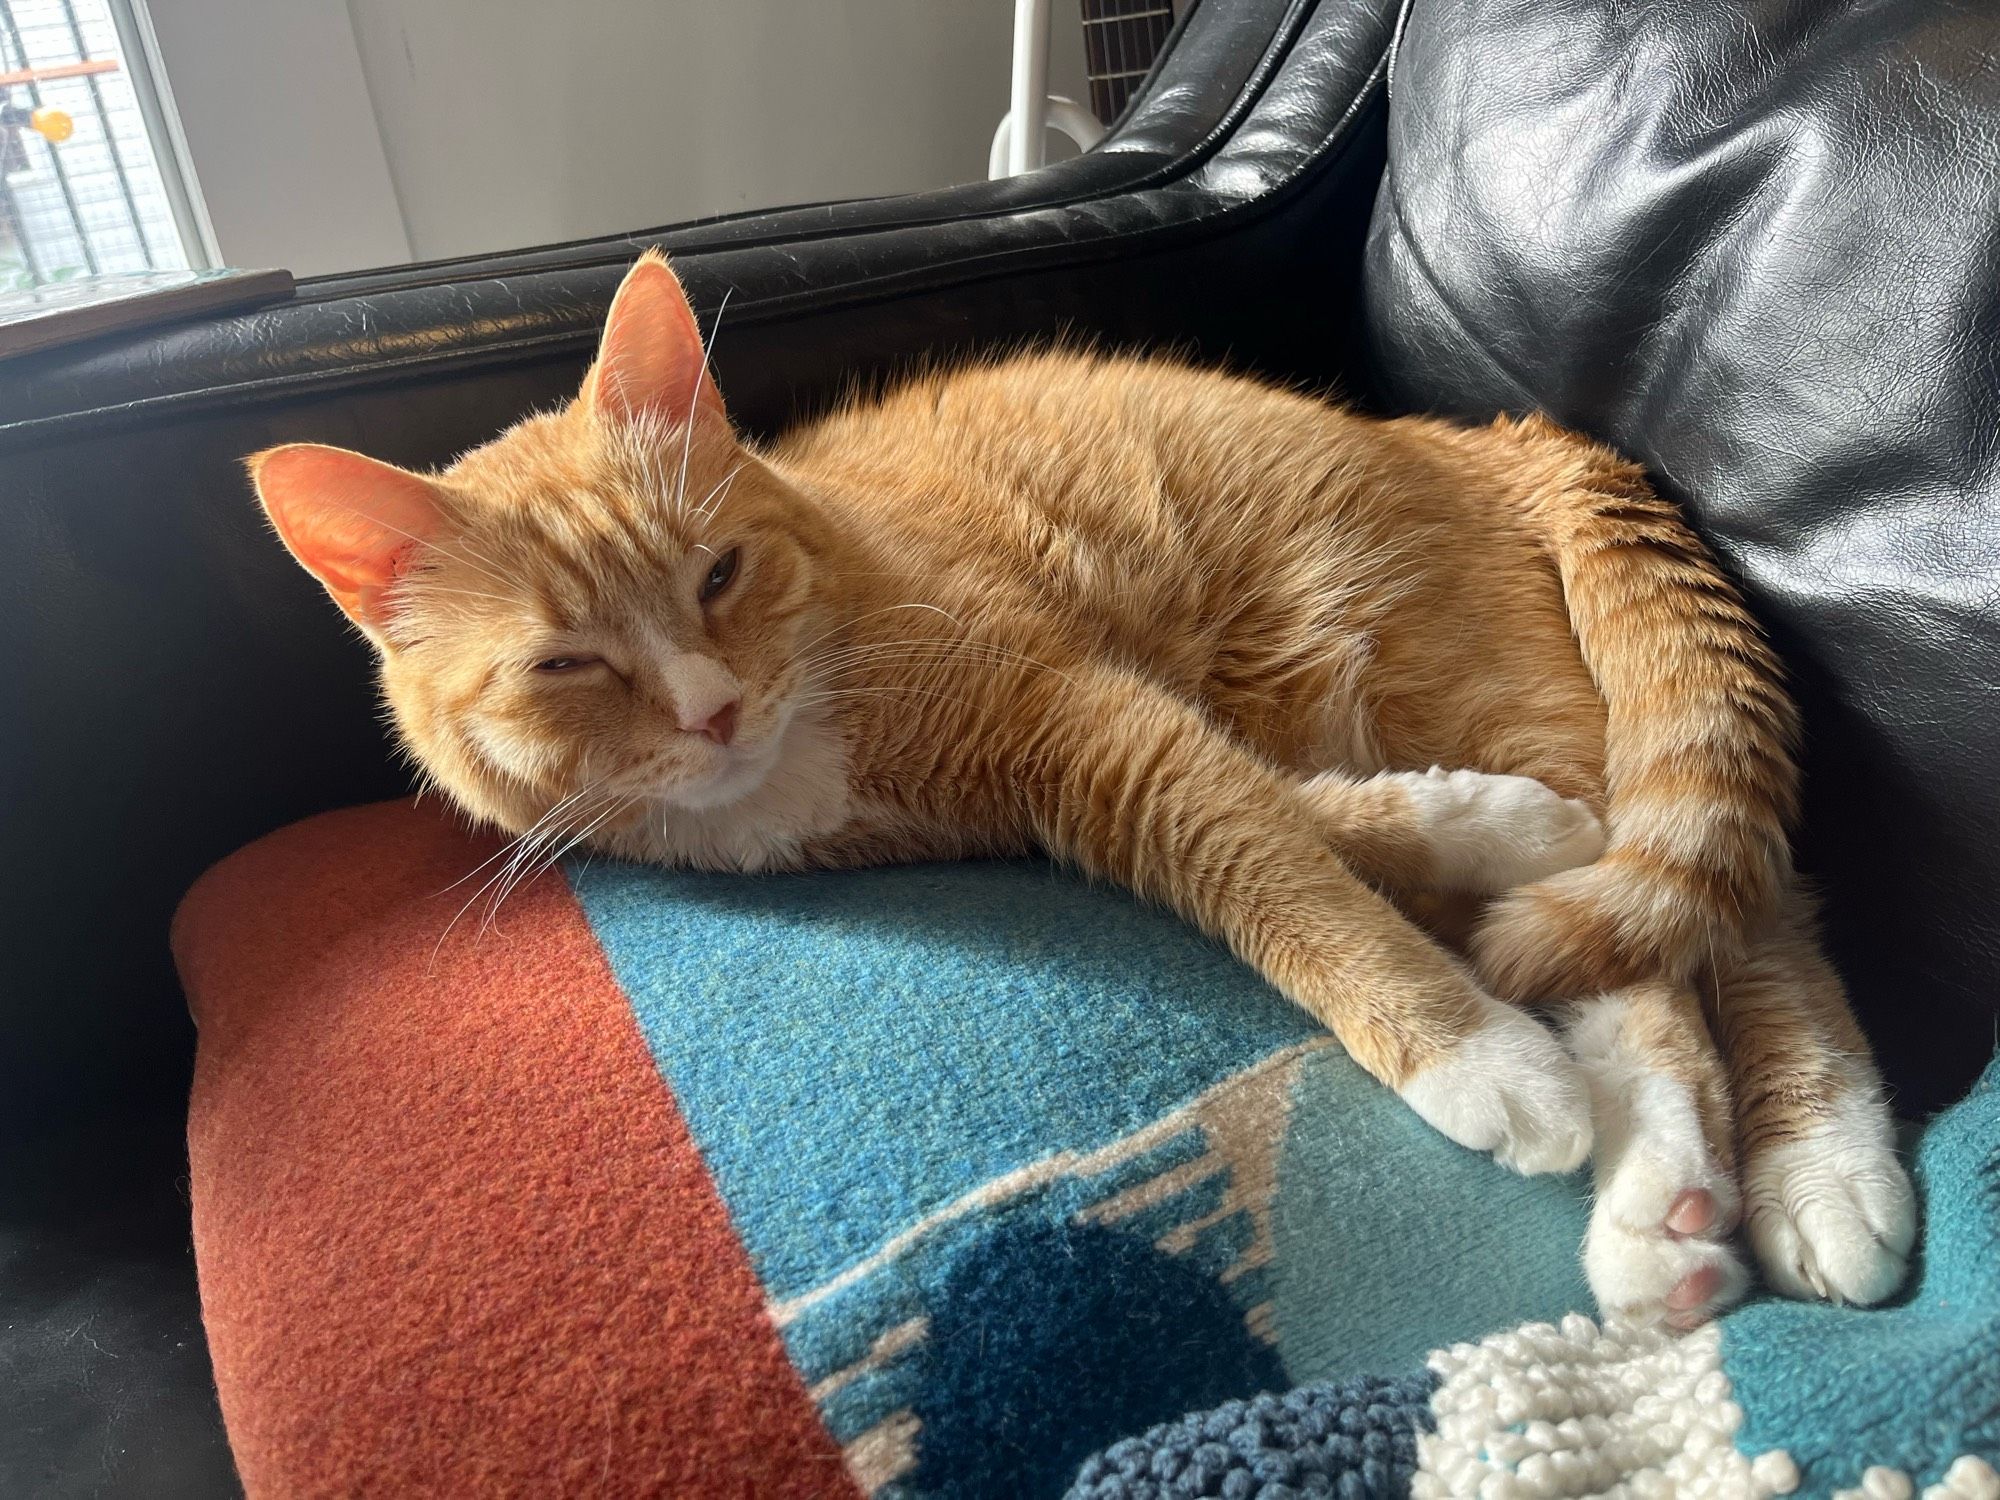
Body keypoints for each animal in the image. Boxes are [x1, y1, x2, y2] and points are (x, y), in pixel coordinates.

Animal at [250, 250, 1904, 1328]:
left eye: (717, 573)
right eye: (565, 665)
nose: (713, 712)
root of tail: (1475, 434)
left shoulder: (1079, 717)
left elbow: (1259, 858)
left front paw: (1471, 1054)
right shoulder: (1065, 779)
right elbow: (1305, 821)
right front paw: (1469, 832)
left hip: (1451, 671)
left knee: (1720, 940)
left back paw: (1786, 1171)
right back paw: (1681, 1198)